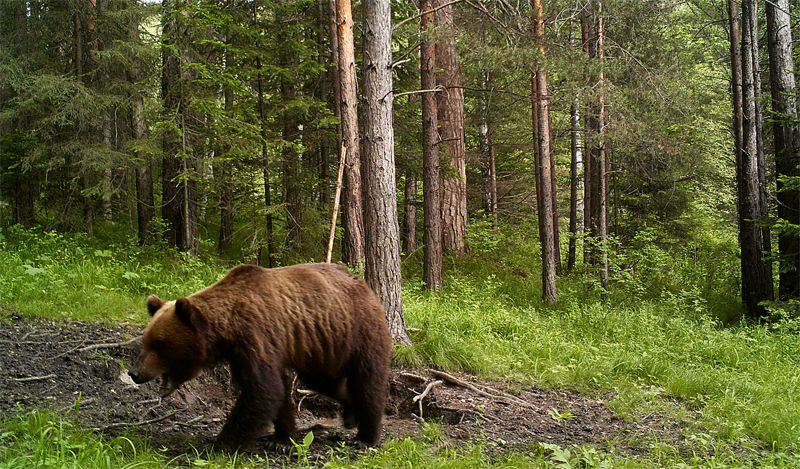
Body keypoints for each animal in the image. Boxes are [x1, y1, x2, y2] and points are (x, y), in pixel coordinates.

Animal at [126, 264, 392, 450]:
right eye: (146, 339)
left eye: (160, 343)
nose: (134, 372)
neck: (227, 329)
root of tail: (364, 284)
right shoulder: (243, 352)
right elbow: (276, 389)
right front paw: (281, 439)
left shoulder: (255, 336)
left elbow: (262, 389)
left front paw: (221, 444)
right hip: (323, 344)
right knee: (325, 380)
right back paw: (350, 414)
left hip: (361, 330)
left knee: (368, 380)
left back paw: (366, 436)